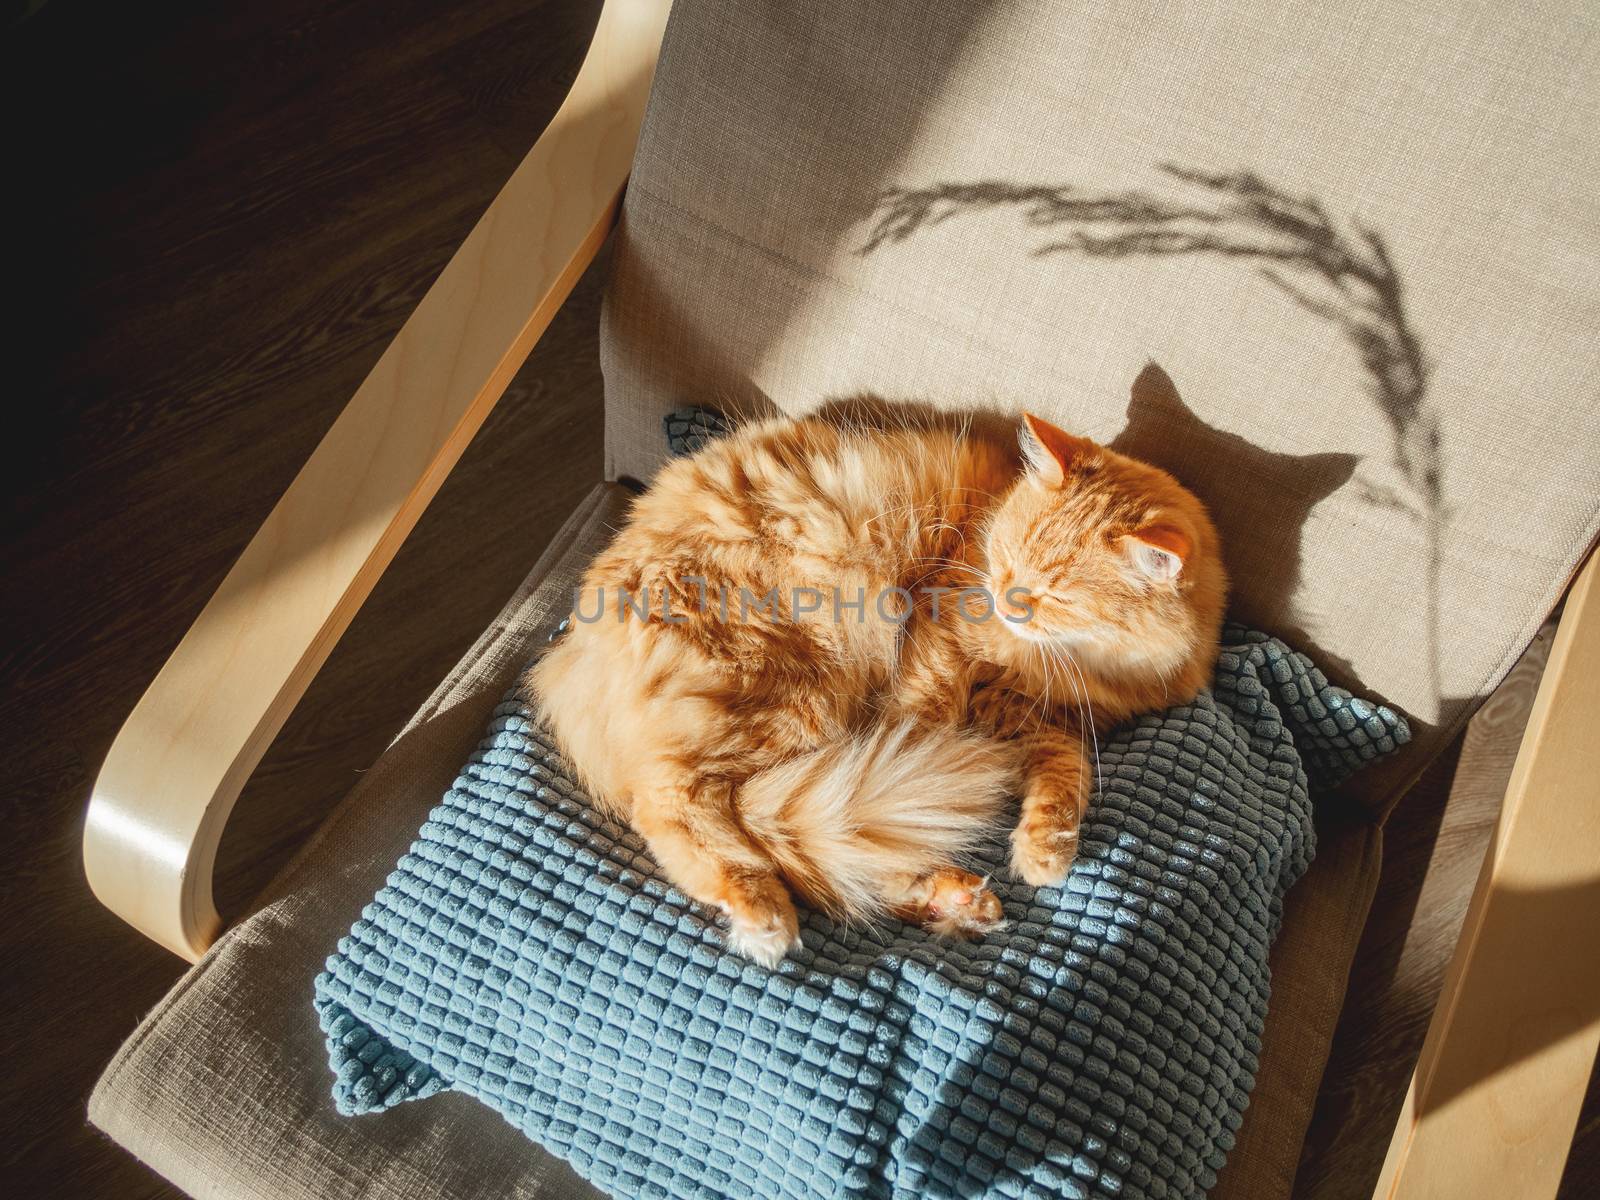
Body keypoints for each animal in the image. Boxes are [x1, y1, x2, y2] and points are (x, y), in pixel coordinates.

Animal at [528, 412, 1222, 966]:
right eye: (1003, 560)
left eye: (1055, 595)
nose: (1004, 600)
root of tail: (572, 651)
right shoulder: (939, 646)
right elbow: (922, 726)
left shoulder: (1036, 717)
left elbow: (1066, 770)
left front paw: (1045, 848)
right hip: (793, 692)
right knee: (684, 804)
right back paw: (766, 916)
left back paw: (953, 900)